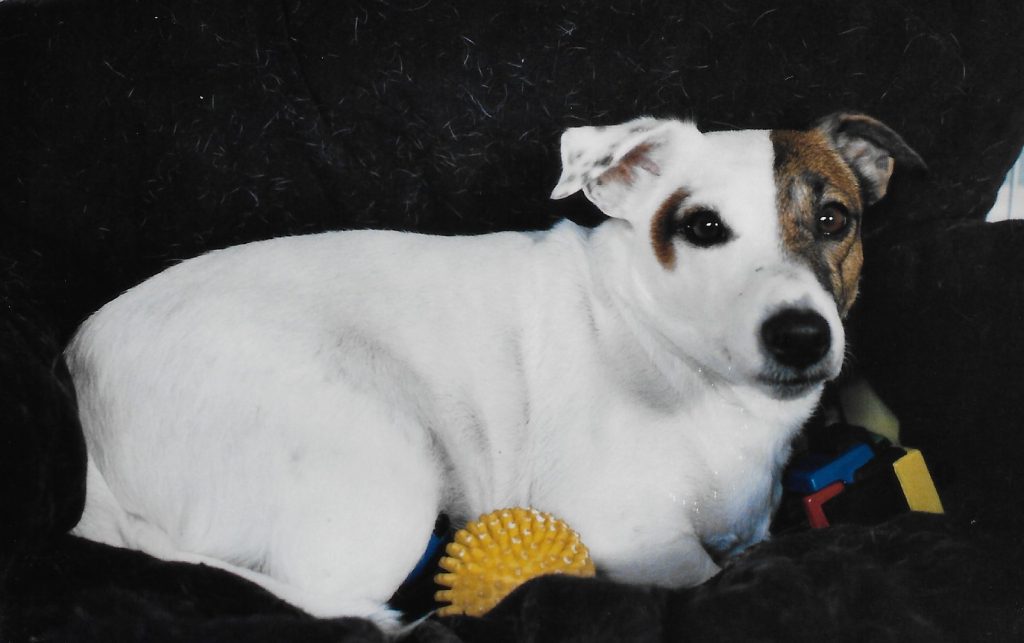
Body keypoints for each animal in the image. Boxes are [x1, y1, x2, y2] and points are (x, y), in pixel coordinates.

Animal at [68, 111, 925, 626]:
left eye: (834, 219)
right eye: (703, 227)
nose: (801, 336)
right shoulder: (633, 532)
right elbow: (697, 578)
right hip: (384, 465)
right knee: (334, 600)